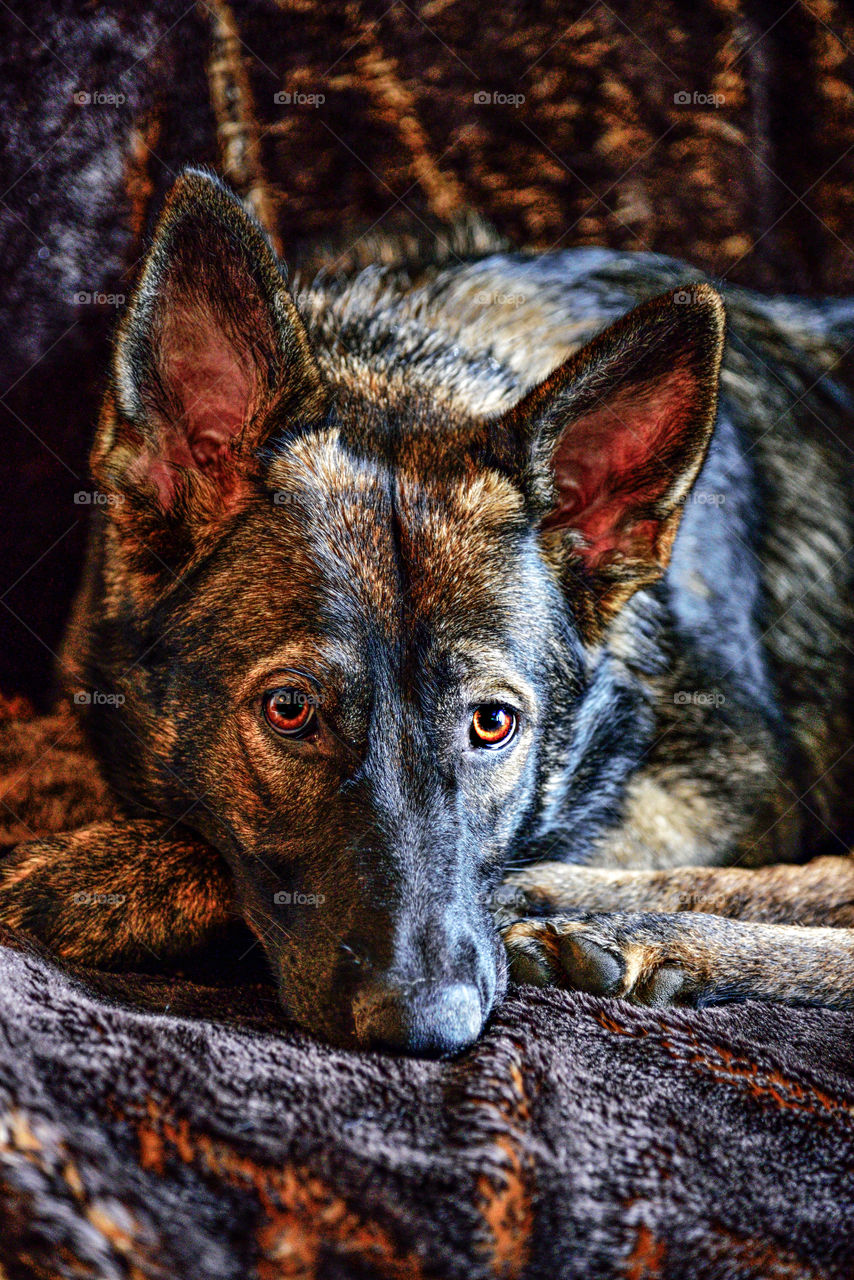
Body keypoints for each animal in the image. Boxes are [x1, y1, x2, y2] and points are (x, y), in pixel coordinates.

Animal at [1, 165, 854, 1054]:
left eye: (493, 724)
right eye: (289, 710)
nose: (425, 1027)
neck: (407, 366)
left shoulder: (719, 793)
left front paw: (92, 876)